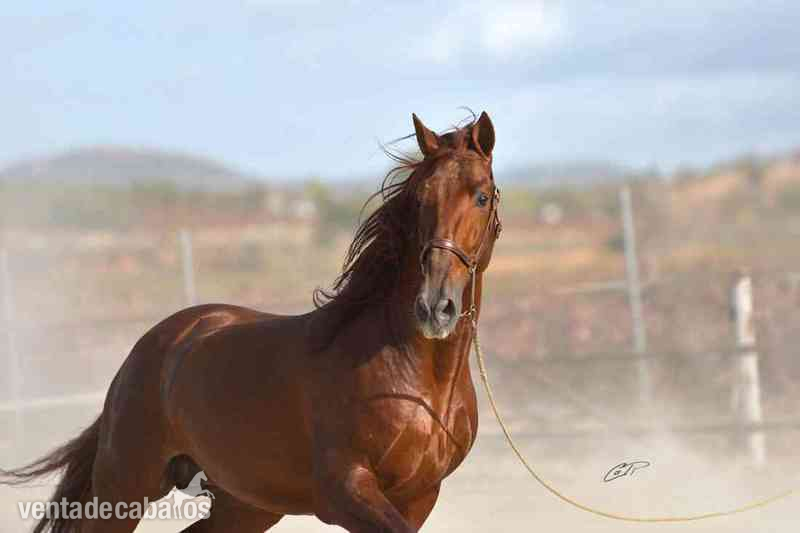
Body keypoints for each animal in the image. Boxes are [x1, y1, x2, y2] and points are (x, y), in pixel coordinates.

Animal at [1, 111, 502, 533]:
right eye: (419, 199)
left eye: (481, 196)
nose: (435, 306)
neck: (419, 380)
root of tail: (154, 344)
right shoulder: (347, 491)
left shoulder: (419, 498)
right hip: (126, 484)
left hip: (245, 502)